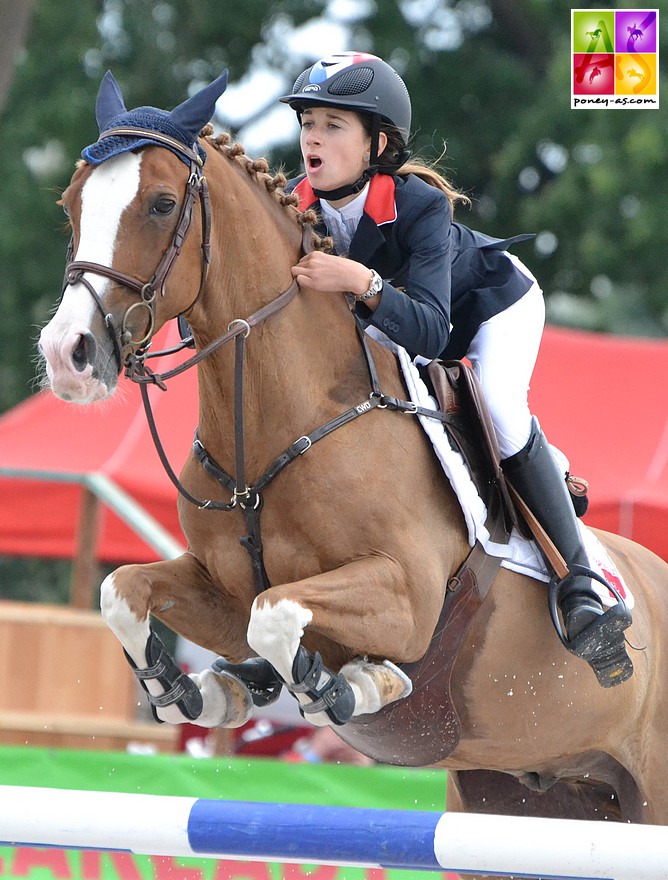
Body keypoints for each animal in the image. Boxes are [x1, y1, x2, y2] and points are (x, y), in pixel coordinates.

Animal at [40, 72, 668, 836]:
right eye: (71, 204)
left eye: (161, 205)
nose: (67, 356)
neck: (283, 423)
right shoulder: (220, 589)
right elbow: (126, 591)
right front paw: (194, 691)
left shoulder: (407, 598)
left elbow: (277, 613)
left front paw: (356, 684)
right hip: (527, 791)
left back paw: (588, 612)